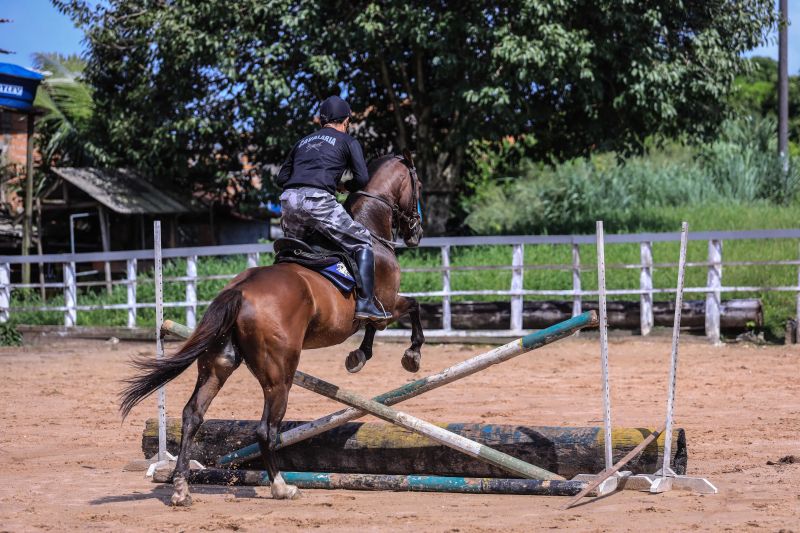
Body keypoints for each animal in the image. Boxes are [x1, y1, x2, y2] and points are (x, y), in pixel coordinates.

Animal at [119, 152, 424, 504]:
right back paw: (281, 485)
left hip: (217, 363)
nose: (416, 232)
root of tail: (240, 291)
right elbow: (409, 309)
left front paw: (358, 357)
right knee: (266, 429)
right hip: (280, 373)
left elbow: (381, 325)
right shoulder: (385, 306)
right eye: (418, 185)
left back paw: (182, 487)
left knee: (193, 414)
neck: (371, 230)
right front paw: (408, 355)